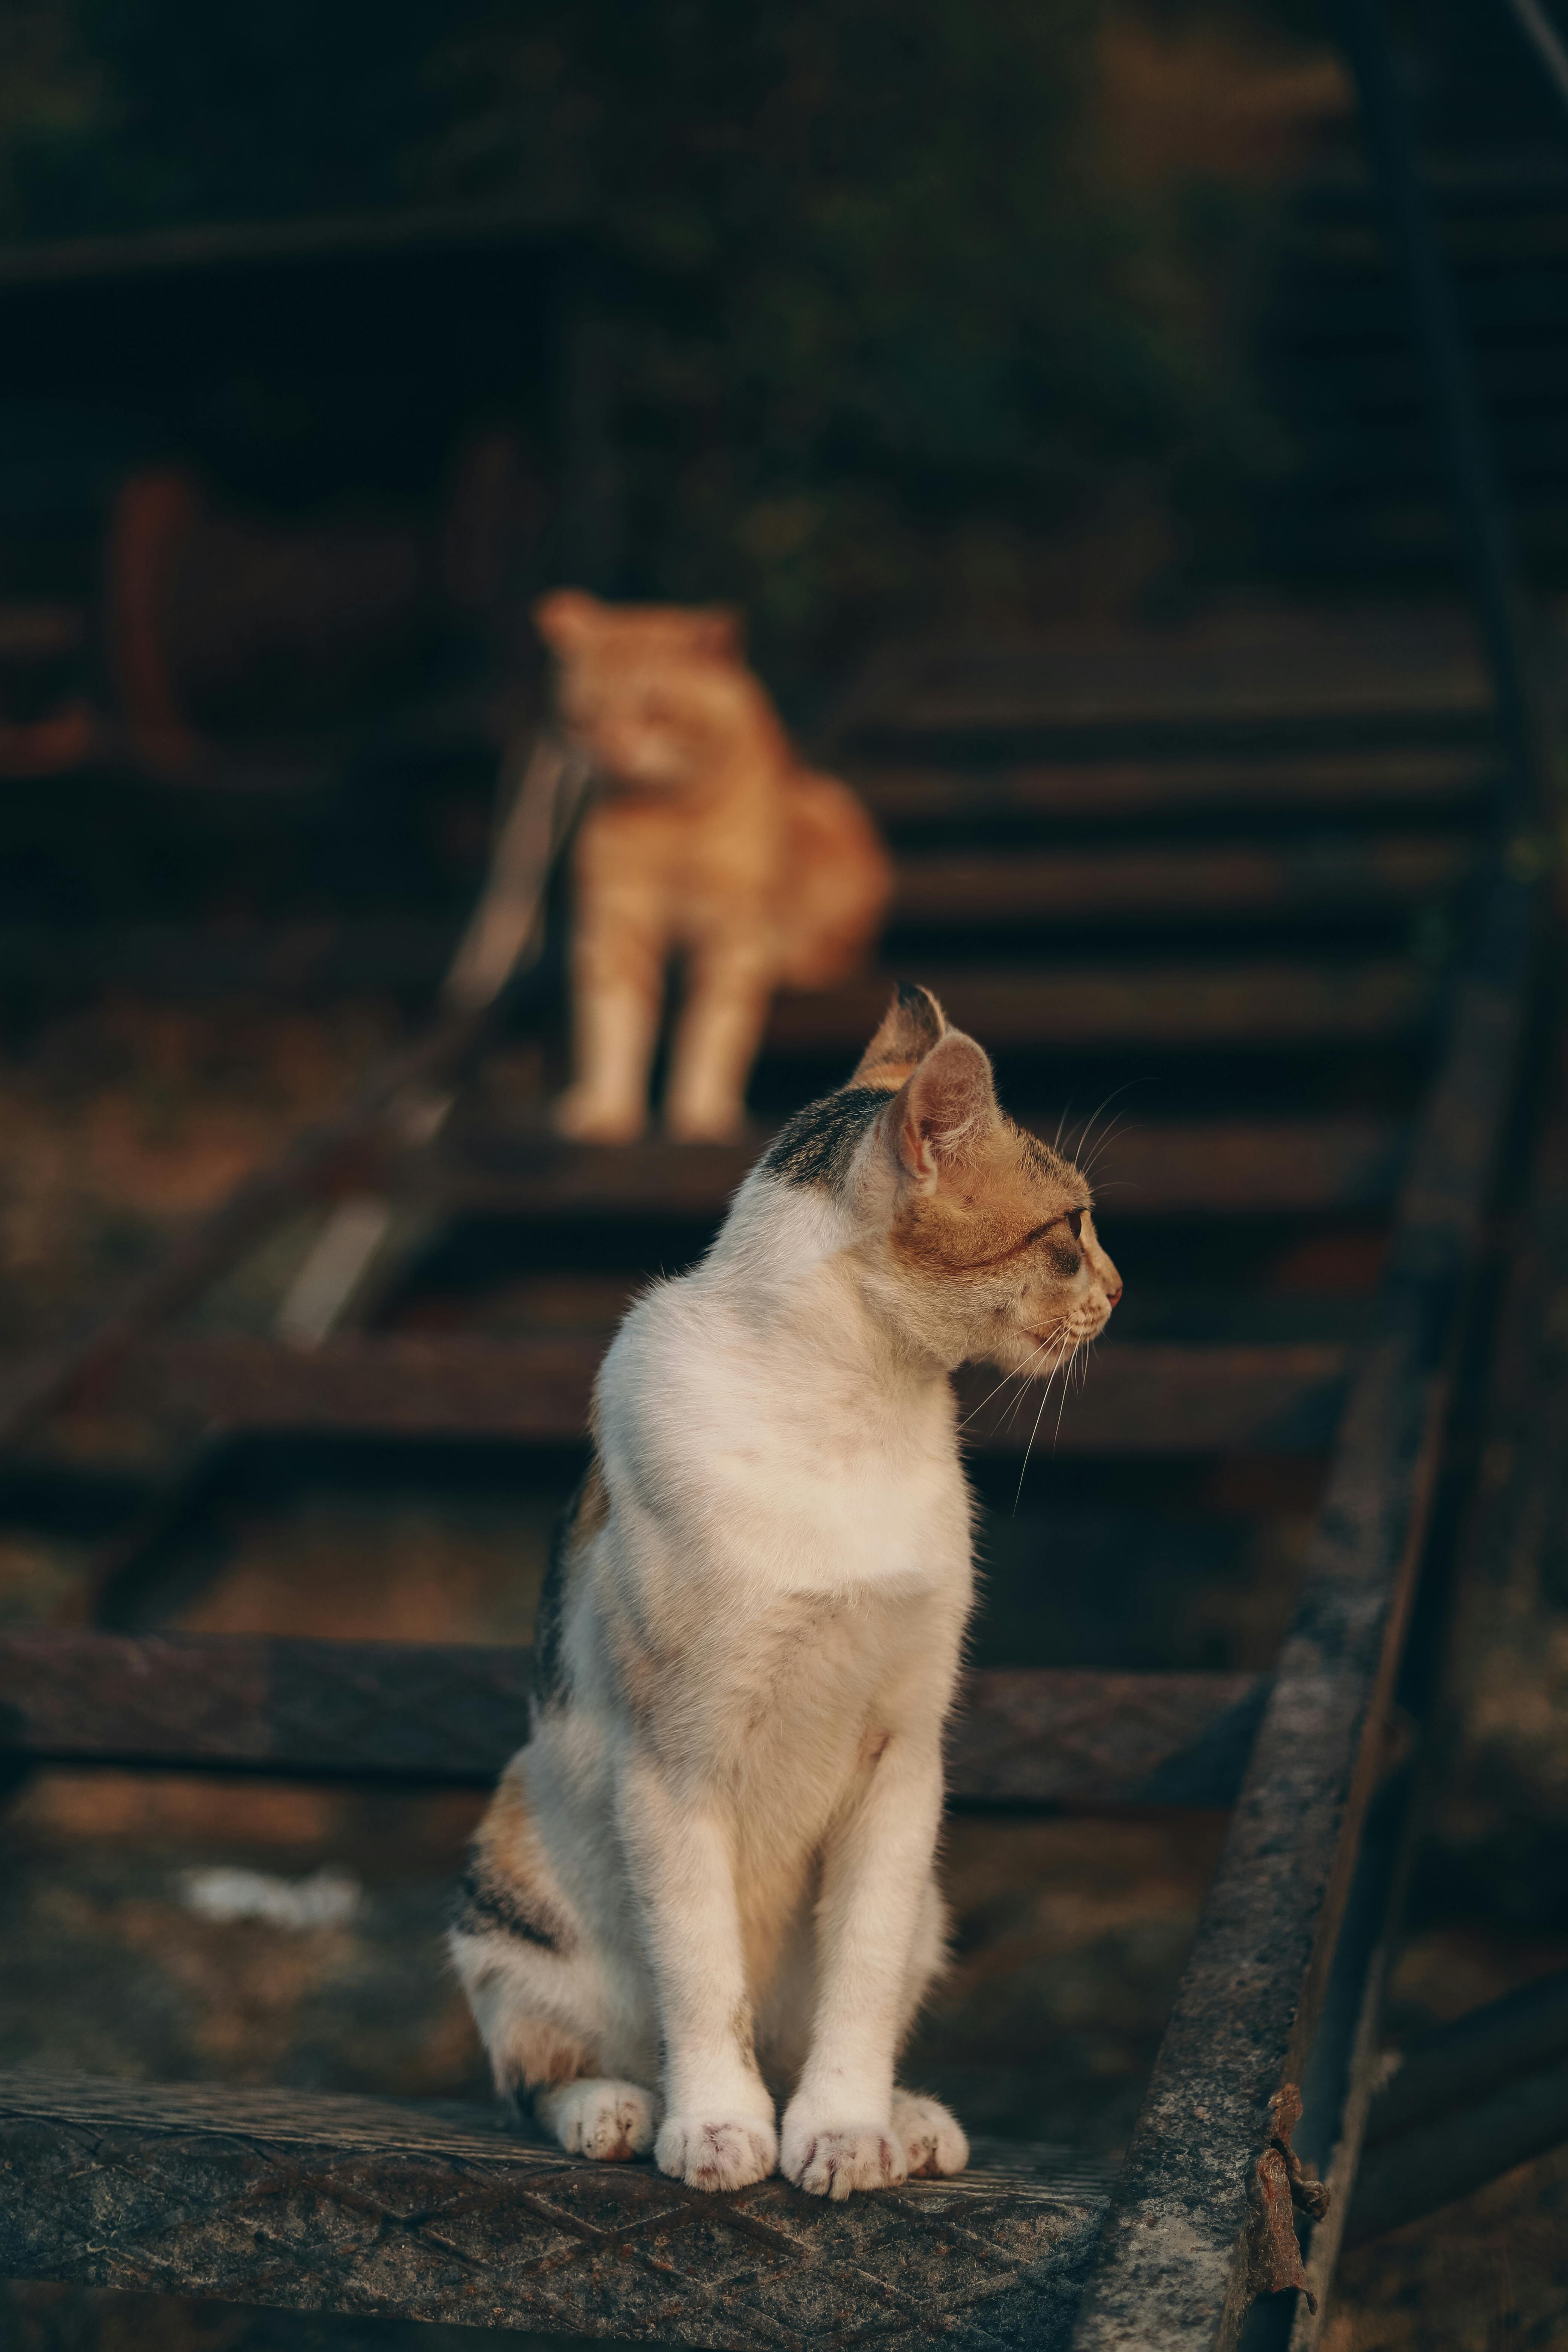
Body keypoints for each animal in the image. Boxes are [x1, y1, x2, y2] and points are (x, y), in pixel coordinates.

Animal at [447, 983, 1124, 2192]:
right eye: (1069, 1230)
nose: (1121, 1288)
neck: (853, 1416)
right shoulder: (673, 1764)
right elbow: (701, 1977)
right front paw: (719, 2124)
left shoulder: (903, 1755)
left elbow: (859, 1977)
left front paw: (847, 2127)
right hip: (509, 1872)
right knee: (541, 2066)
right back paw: (612, 2108)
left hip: (929, 1903)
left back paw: (908, 2118)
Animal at [533, 585, 888, 1138]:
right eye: (585, 716)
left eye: (657, 712)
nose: (612, 751)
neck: (667, 820)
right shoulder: (616, 920)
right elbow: (610, 1020)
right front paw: (607, 1107)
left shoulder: (732, 930)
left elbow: (712, 1028)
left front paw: (699, 1110)